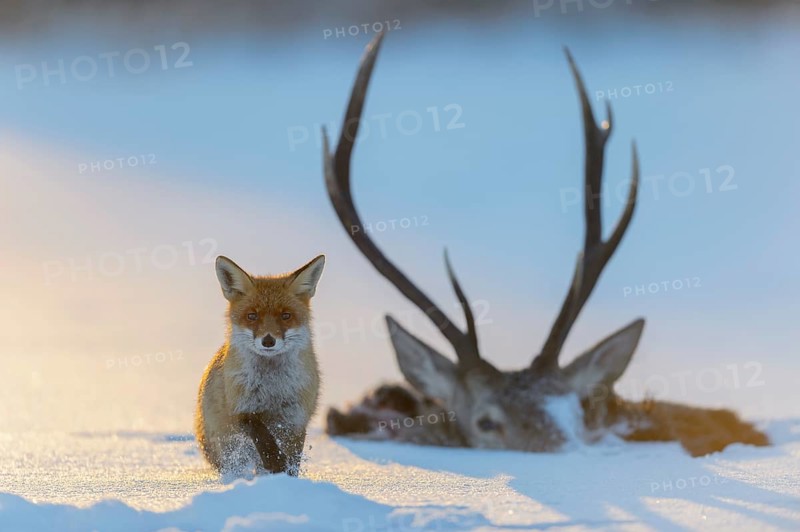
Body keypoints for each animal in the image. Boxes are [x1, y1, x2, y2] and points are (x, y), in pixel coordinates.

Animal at [195, 254, 325, 477]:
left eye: (285, 315)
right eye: (252, 316)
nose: (268, 341)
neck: (272, 387)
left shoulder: (296, 418)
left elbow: (293, 458)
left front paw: (286, 476)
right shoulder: (241, 408)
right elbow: (261, 433)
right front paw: (275, 461)